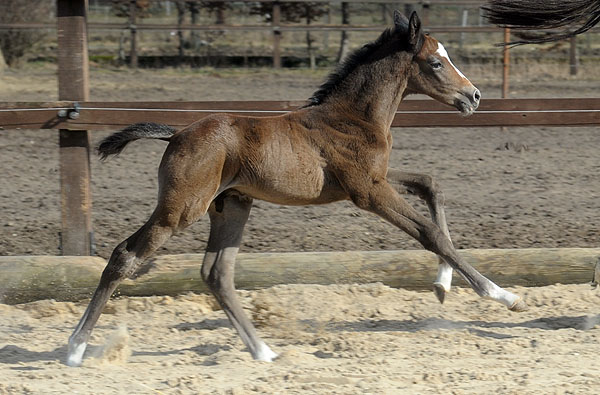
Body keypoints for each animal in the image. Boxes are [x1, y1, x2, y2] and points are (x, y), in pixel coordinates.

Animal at [64, 10, 524, 368]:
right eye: (435, 63)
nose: (474, 96)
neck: (353, 116)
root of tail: (176, 133)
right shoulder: (368, 192)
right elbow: (430, 234)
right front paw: (502, 295)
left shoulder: (372, 180)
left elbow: (431, 186)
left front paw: (443, 287)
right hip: (181, 208)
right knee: (125, 257)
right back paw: (74, 349)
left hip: (232, 206)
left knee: (216, 273)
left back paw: (264, 352)